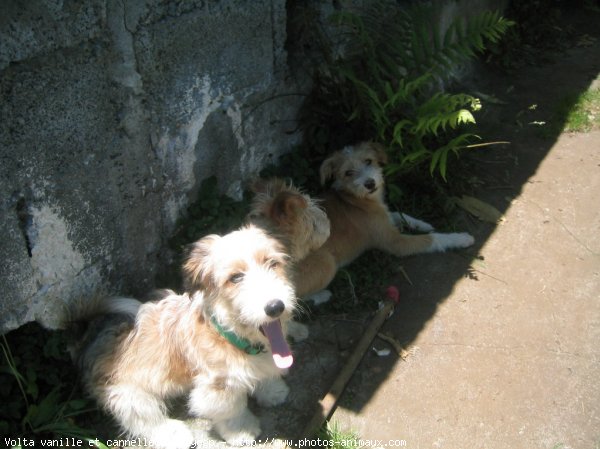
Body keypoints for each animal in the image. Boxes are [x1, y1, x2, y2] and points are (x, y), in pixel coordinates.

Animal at [294, 140, 474, 300]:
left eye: (368, 161)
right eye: (348, 173)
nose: (369, 183)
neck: (355, 199)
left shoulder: (384, 218)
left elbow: (400, 215)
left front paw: (423, 224)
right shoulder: (395, 242)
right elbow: (432, 239)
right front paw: (460, 238)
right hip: (327, 262)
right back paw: (321, 296)